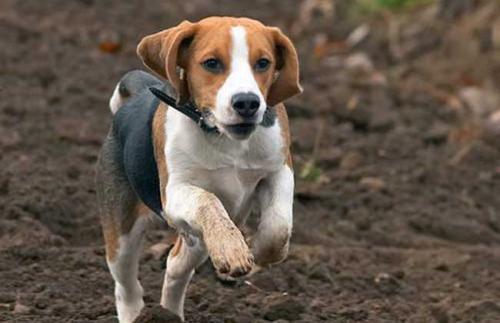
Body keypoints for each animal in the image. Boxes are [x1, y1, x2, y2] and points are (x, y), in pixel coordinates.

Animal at [96, 17, 300, 323]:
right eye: (211, 63)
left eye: (263, 63)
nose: (247, 102)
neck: (225, 139)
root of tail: (138, 93)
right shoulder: (175, 192)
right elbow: (207, 199)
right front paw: (233, 250)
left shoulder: (278, 169)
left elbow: (278, 227)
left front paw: (259, 254)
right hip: (121, 231)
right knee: (126, 285)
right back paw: (136, 312)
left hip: (197, 242)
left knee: (175, 264)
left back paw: (170, 313)